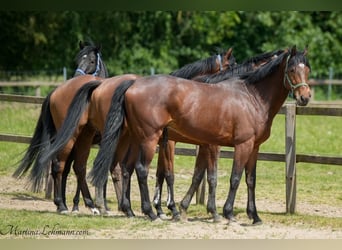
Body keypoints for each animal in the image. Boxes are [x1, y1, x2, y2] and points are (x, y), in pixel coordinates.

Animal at [13, 40, 108, 214]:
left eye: (92, 61)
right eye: (78, 60)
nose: (77, 76)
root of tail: (55, 92)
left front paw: (77, 204)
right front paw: (94, 204)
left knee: (58, 166)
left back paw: (61, 204)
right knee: (59, 166)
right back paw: (63, 205)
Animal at [37, 47, 235, 216]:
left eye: (91, 60)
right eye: (230, 66)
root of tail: (57, 90)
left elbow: (160, 173)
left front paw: (159, 208)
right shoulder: (169, 143)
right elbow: (166, 174)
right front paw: (166, 208)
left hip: (84, 138)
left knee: (74, 167)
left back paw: (76, 204)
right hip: (78, 138)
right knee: (64, 165)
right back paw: (73, 205)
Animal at [89, 46, 312, 224]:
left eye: (307, 70)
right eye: (292, 69)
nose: (305, 97)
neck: (250, 97)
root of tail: (133, 84)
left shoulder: (252, 147)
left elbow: (247, 180)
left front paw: (254, 216)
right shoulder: (239, 145)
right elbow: (231, 178)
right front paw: (226, 213)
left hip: (136, 139)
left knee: (126, 168)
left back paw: (130, 210)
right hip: (149, 139)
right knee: (141, 170)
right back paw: (149, 213)